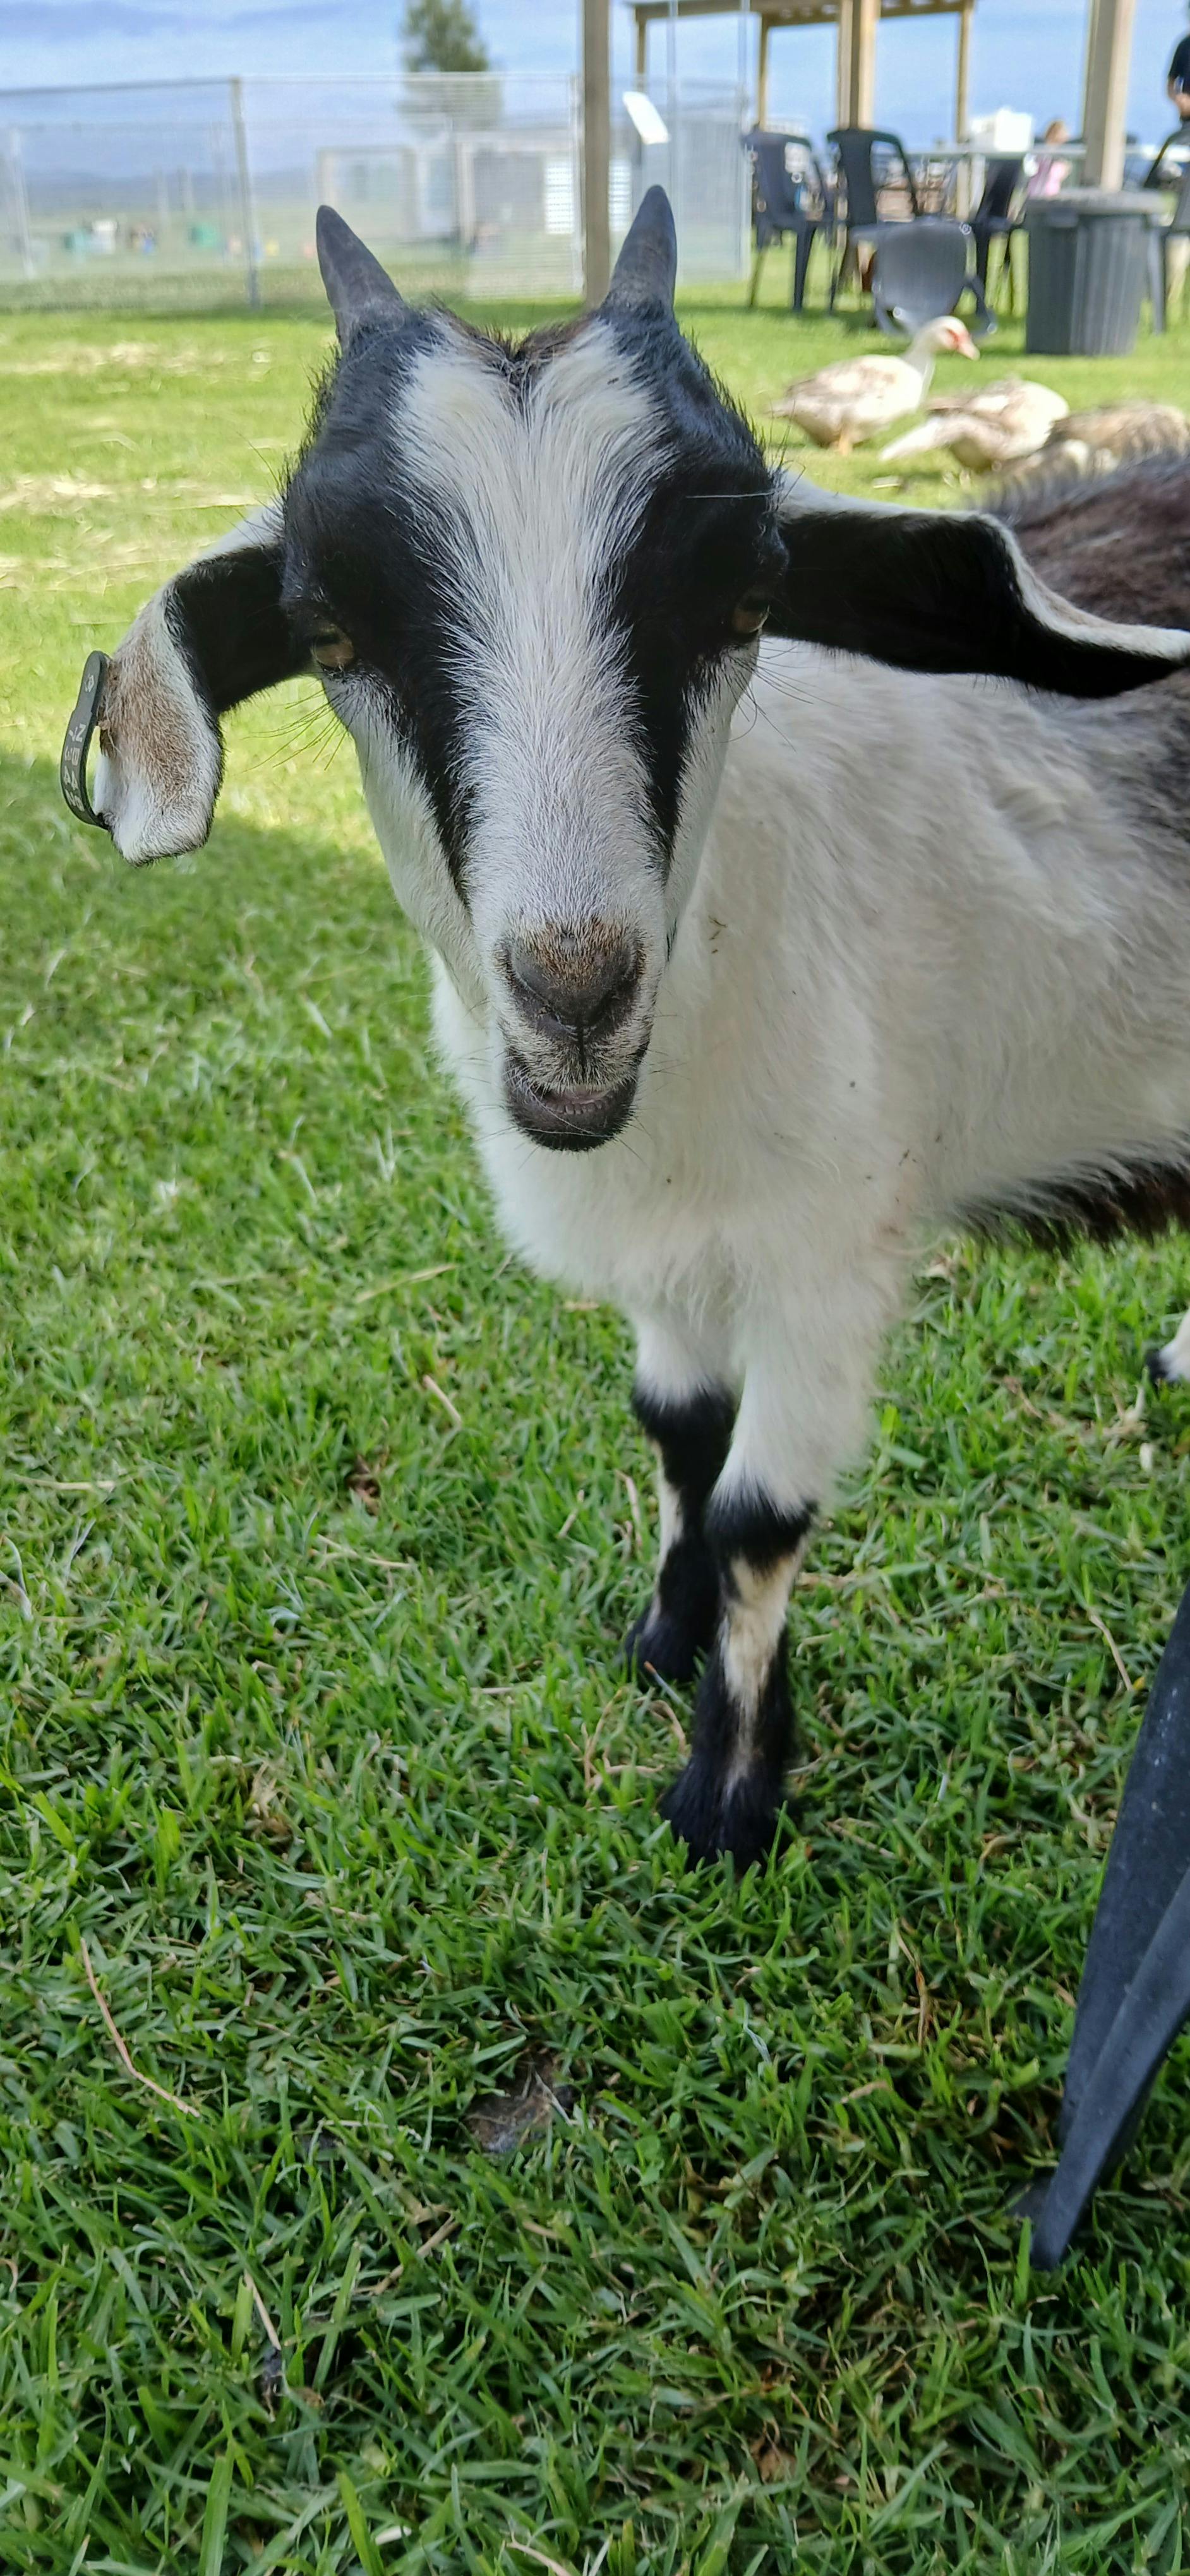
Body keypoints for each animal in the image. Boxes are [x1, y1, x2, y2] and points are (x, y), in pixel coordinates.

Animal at [65, 193, 1190, 1869]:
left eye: (749, 597)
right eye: (327, 629)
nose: (576, 989)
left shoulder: (830, 1253)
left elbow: (756, 1516)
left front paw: (728, 1792)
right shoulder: (677, 1253)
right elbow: (675, 1428)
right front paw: (661, 1641)